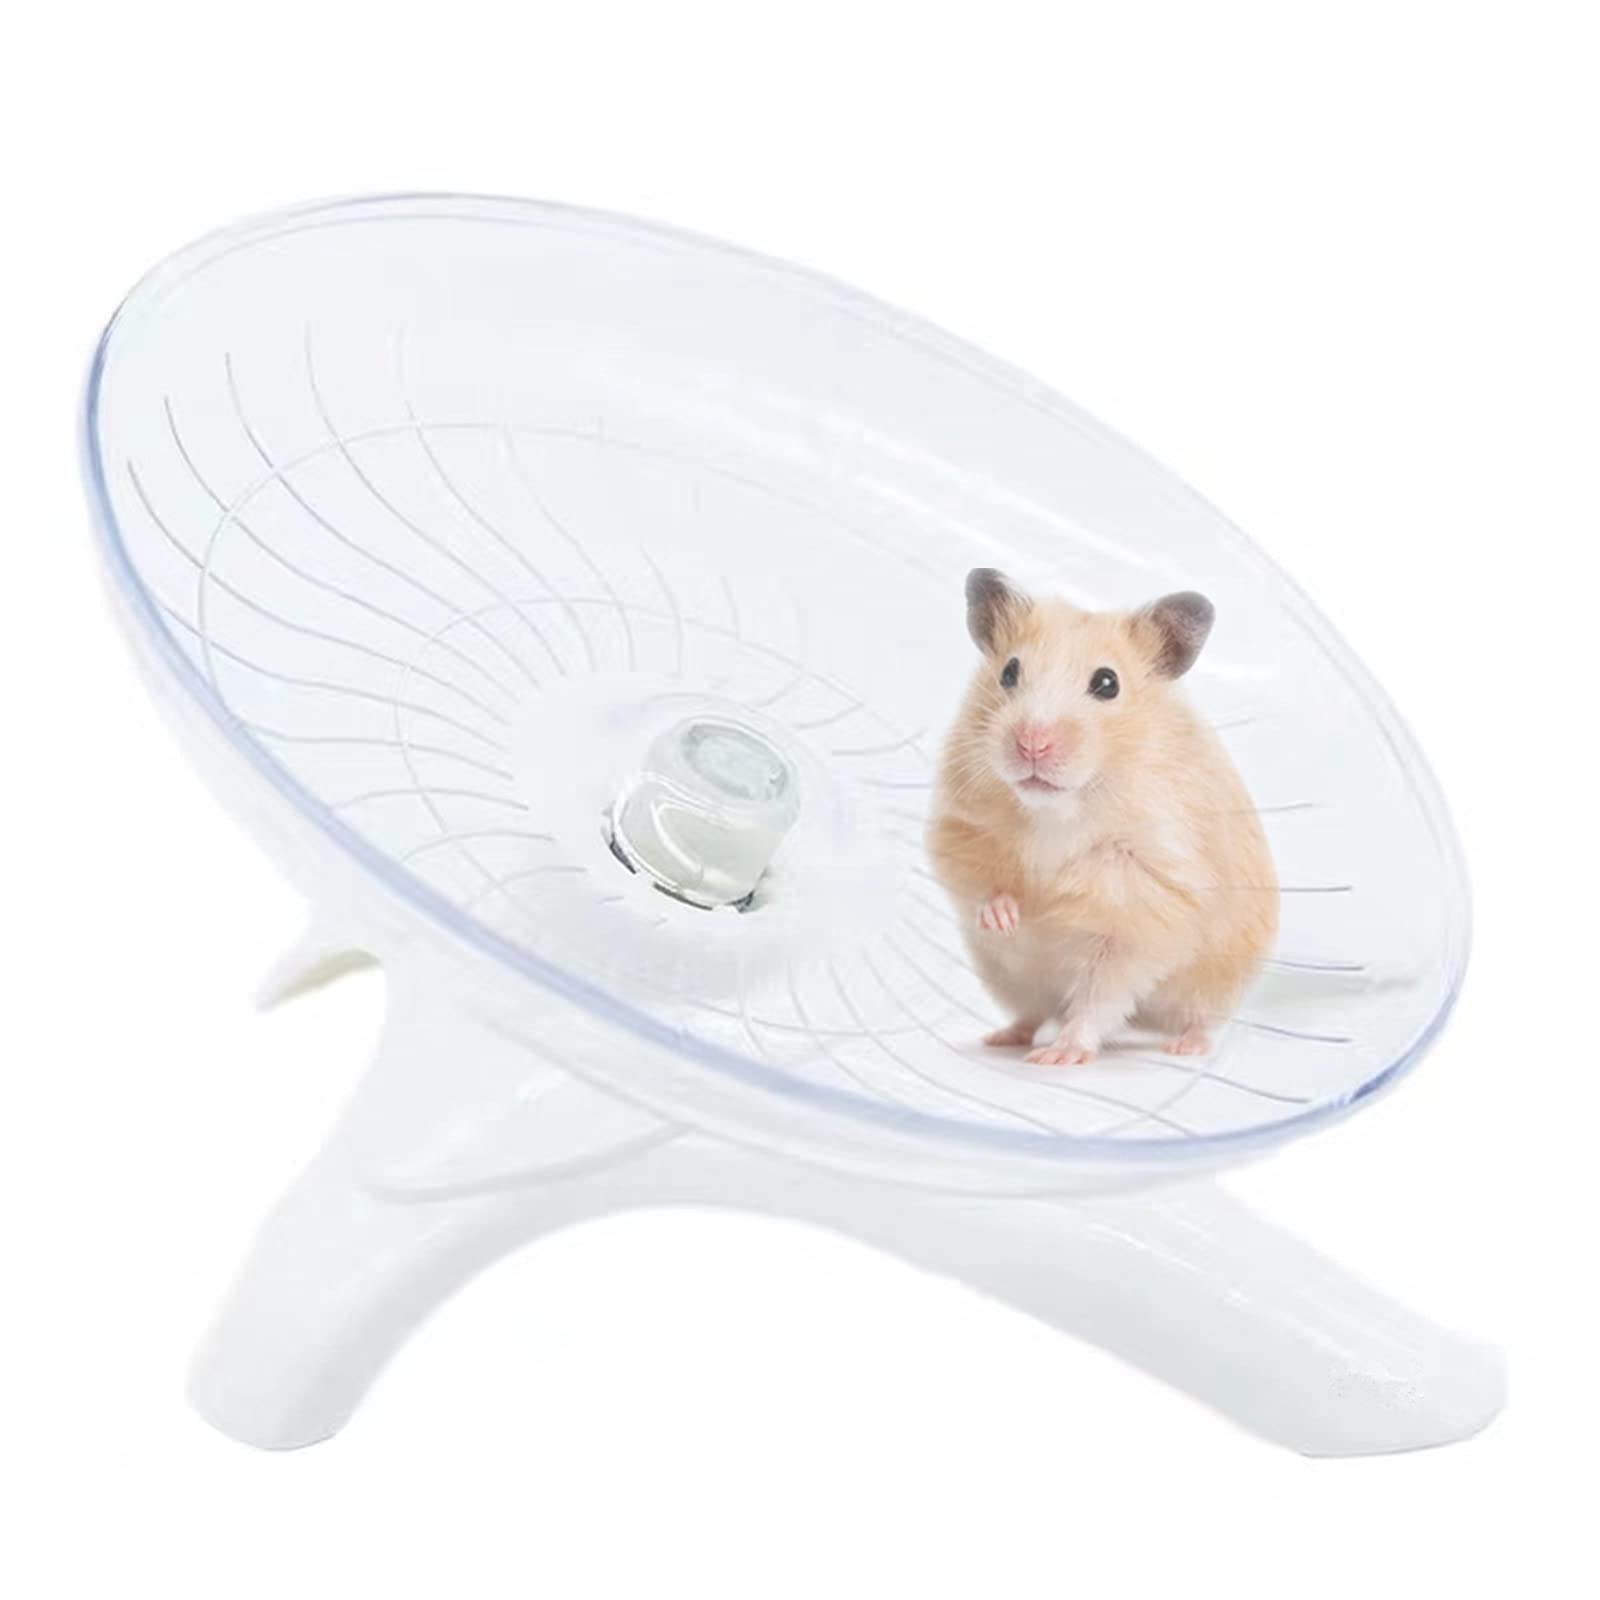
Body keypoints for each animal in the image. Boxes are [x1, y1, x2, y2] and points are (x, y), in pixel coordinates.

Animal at [925, 569, 1277, 1066]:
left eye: (1107, 683)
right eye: (1009, 672)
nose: (1031, 744)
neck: (1056, 809)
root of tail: (1150, 1023)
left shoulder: (1147, 902)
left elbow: (1100, 991)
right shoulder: (958, 826)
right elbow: (979, 881)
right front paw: (1009, 915)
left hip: (1215, 986)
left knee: (1191, 1020)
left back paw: (1177, 1047)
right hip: (1008, 978)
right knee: (1032, 1013)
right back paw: (1002, 1037)